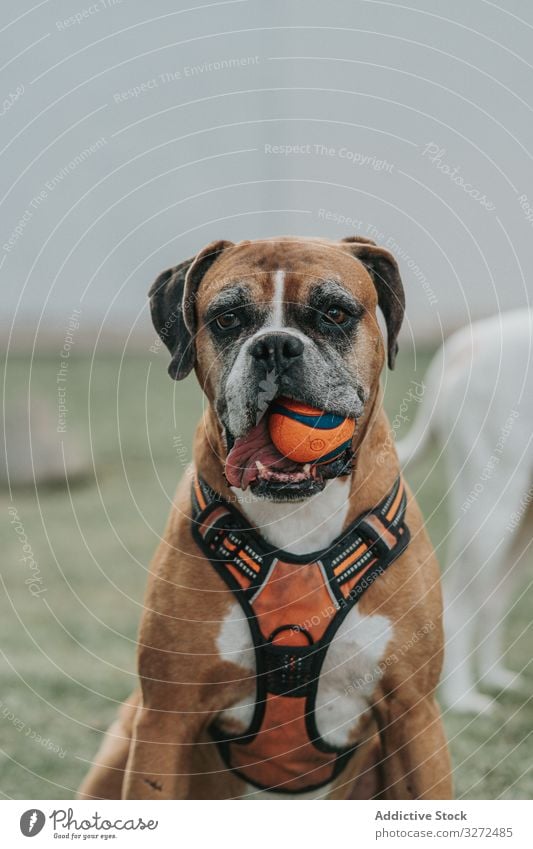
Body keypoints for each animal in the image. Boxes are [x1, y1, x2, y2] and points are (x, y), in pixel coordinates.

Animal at [79, 235, 450, 800]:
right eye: (228, 318)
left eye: (335, 313)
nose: (275, 346)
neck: (296, 514)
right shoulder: (165, 720)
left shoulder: (414, 715)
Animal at [396, 308, 528, 712]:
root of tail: (468, 341)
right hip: (492, 511)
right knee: (458, 606)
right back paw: (463, 699)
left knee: (491, 602)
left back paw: (494, 677)